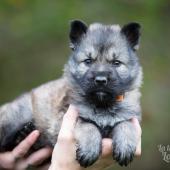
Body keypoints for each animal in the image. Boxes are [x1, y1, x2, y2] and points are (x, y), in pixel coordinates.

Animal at [0, 20, 143, 167]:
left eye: (116, 63)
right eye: (88, 61)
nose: (100, 80)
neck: (102, 104)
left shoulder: (130, 117)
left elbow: (126, 124)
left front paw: (125, 146)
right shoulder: (65, 120)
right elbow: (88, 125)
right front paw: (89, 149)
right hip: (18, 116)